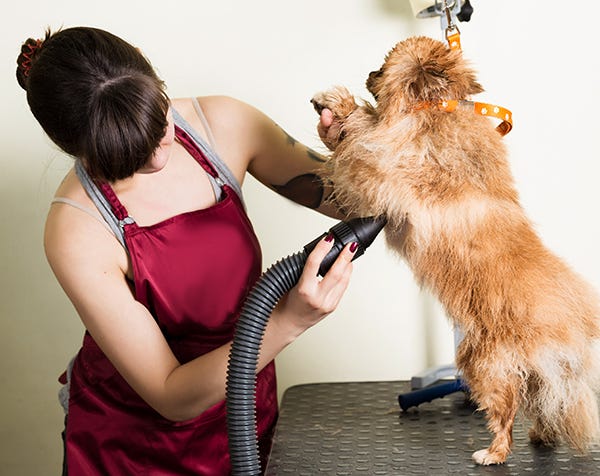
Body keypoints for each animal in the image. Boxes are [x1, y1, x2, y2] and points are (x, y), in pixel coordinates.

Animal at [312, 36, 600, 464]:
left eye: (383, 67)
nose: (369, 73)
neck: (435, 108)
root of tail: (569, 330)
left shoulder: (382, 168)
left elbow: (362, 133)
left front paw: (338, 103)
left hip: (483, 364)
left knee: (506, 412)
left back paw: (493, 453)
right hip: (534, 376)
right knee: (546, 406)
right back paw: (541, 437)